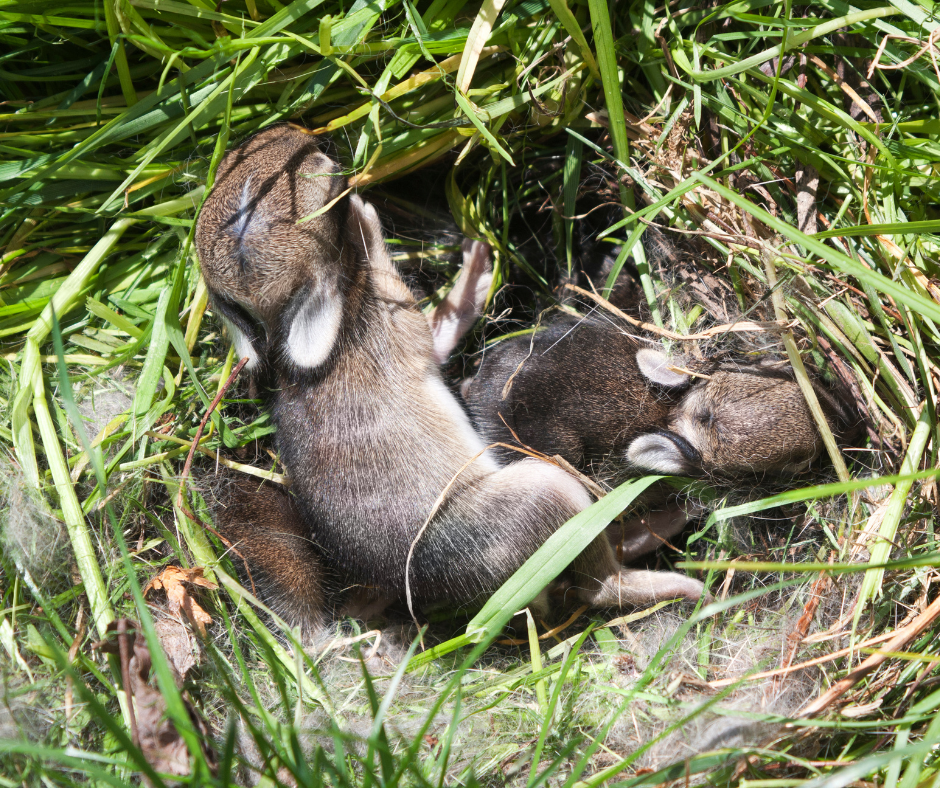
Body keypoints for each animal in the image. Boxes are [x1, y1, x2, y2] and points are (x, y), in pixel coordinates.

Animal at [194, 125, 708, 633]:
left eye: (228, 168)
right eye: (250, 211)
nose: (297, 134)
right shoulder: (403, 328)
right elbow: (422, 311)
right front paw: (368, 219)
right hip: (545, 492)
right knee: (594, 584)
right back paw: (673, 554)